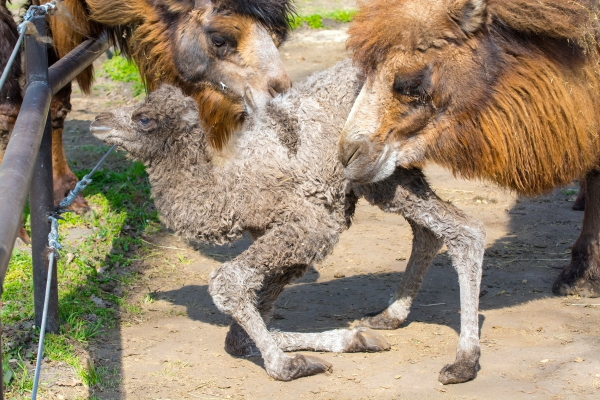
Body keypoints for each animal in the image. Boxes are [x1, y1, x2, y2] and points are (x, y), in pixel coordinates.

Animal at [92, 60, 488, 384]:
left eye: (143, 117)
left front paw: (287, 366)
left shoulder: (310, 226)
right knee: (430, 230)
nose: (98, 120)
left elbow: (229, 282)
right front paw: (354, 339)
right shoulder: (286, 243)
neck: (229, 187)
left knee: (466, 230)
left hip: (380, 174)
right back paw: (389, 317)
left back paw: (463, 363)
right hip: (389, 176)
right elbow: (239, 335)